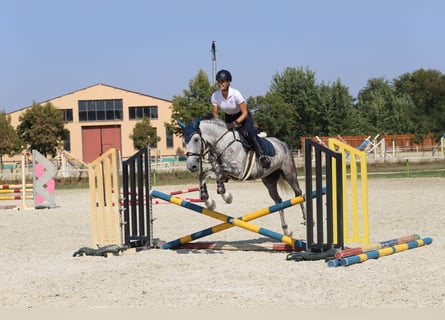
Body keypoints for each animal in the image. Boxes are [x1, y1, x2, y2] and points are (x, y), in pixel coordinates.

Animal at [177, 115, 306, 238]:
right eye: (183, 142)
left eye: (196, 139)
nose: (191, 166)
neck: (222, 144)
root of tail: (282, 143)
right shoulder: (223, 171)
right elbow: (205, 175)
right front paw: (210, 199)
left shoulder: (238, 171)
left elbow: (211, 173)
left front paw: (218, 199)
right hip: (269, 180)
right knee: (278, 201)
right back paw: (286, 230)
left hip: (289, 174)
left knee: (298, 193)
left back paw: (306, 220)